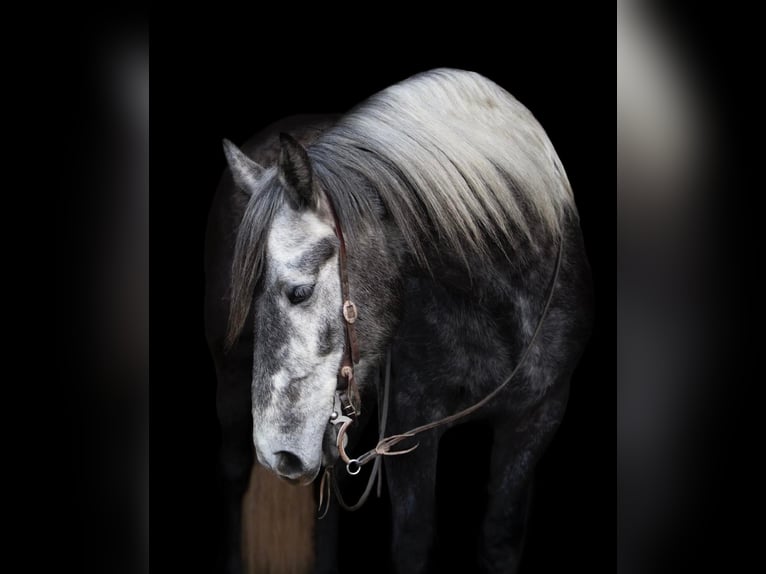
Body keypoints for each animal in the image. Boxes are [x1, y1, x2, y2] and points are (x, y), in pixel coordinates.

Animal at [204, 70, 592, 572]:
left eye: (300, 292)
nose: (279, 455)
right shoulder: (412, 427)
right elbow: (412, 540)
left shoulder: (537, 417)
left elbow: (501, 538)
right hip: (234, 385)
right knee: (234, 472)